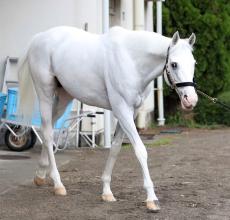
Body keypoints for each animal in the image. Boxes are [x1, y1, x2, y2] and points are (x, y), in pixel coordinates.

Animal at [18, 25, 198, 211]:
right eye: (174, 64)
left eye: (193, 63)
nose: (190, 100)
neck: (132, 60)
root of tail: (39, 37)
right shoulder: (122, 109)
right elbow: (140, 150)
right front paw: (151, 199)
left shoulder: (130, 112)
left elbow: (116, 148)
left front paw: (106, 191)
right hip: (45, 94)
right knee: (47, 133)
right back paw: (58, 184)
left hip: (64, 96)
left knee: (50, 128)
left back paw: (40, 175)